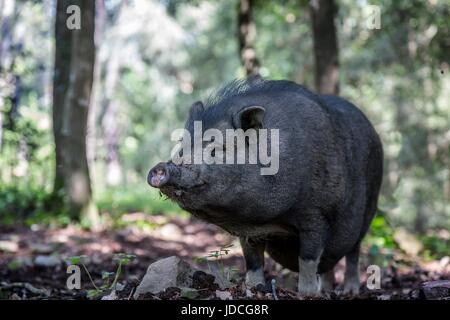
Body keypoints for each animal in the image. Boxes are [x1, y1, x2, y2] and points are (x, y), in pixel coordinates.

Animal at [148, 79, 384, 296]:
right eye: (181, 145)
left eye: (217, 149)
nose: (160, 167)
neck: (268, 220)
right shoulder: (249, 232)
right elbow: (253, 261)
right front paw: (255, 288)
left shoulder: (316, 215)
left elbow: (308, 259)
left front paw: (307, 294)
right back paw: (327, 290)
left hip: (369, 208)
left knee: (353, 252)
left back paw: (348, 291)